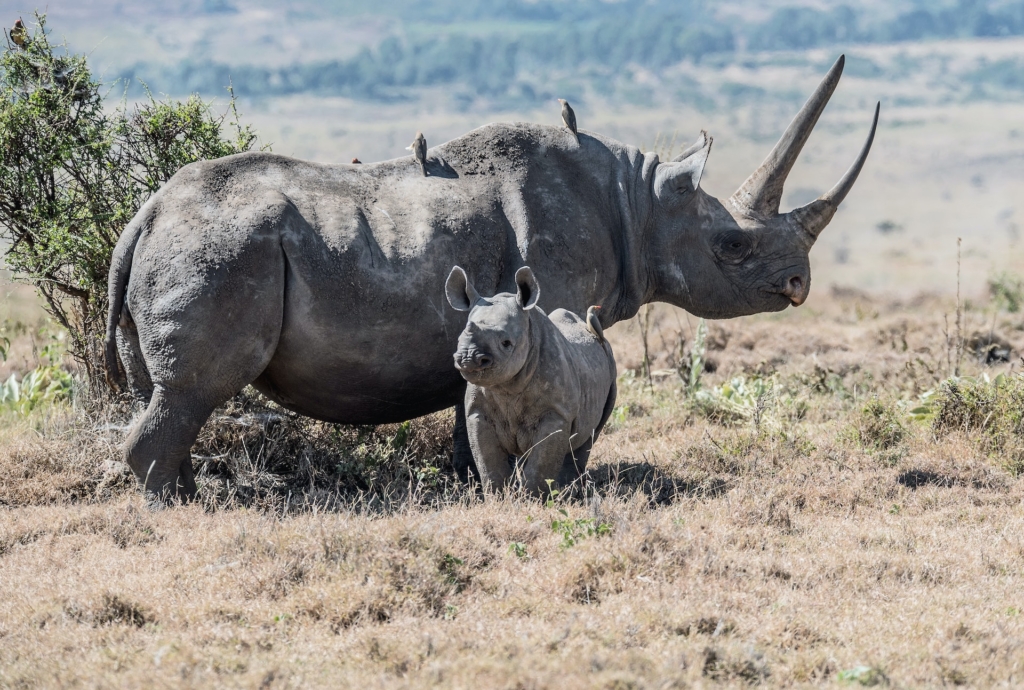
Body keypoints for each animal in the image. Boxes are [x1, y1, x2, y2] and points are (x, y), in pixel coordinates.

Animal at [446, 265, 617, 493]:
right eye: (458, 340)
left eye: (506, 343)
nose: (468, 358)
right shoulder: (477, 411)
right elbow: (488, 462)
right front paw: (498, 496)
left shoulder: (556, 413)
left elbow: (540, 465)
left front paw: (533, 498)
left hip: (610, 368)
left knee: (588, 437)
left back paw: (568, 491)